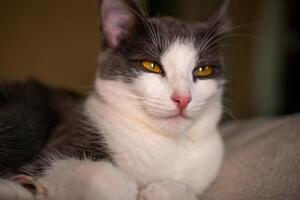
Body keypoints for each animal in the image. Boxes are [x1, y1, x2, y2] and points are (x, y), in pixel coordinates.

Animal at [0, 0, 230, 199]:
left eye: (203, 70)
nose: (182, 98)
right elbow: (96, 176)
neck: (168, 145)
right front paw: (131, 189)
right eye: (151, 66)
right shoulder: (55, 150)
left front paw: (162, 191)